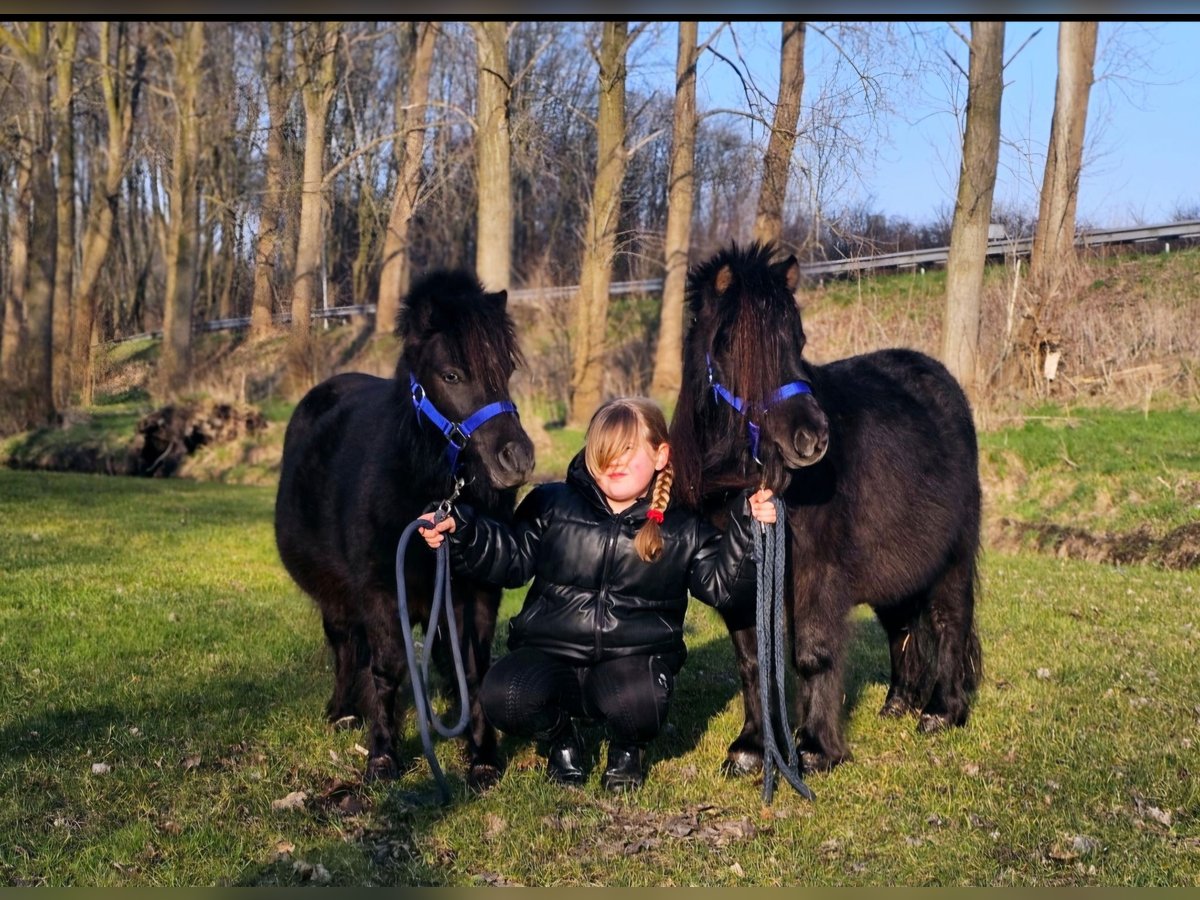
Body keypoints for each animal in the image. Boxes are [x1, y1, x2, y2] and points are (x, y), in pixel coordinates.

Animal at [274, 270, 535, 788]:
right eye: (451, 374)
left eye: (506, 370)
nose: (517, 459)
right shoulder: (380, 589)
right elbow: (388, 667)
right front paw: (382, 754)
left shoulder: (478, 592)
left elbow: (473, 668)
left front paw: (482, 754)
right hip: (335, 597)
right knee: (344, 646)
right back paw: (343, 711)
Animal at [669, 242, 982, 775]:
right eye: (730, 345)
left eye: (798, 340)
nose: (811, 438)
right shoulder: (737, 579)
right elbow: (753, 660)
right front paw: (751, 748)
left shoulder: (818, 572)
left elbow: (813, 653)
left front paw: (816, 748)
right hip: (897, 567)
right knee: (903, 626)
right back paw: (898, 703)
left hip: (952, 557)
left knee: (949, 620)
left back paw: (942, 711)